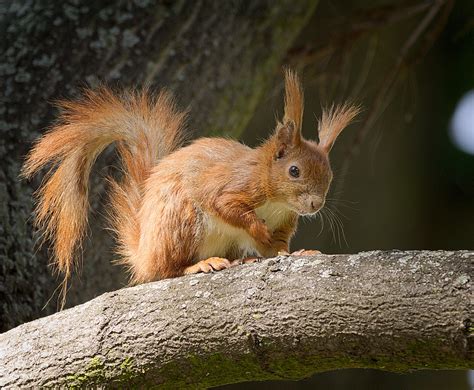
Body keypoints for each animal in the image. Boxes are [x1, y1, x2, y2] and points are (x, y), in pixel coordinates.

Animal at [20, 68, 358, 304]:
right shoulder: (232, 185)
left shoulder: (284, 222)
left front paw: (297, 252)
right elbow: (227, 207)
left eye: (329, 175)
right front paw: (257, 227)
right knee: (165, 272)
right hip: (182, 221)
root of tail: (145, 253)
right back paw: (199, 265)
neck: (276, 202)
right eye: (294, 171)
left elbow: (276, 248)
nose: (315, 205)